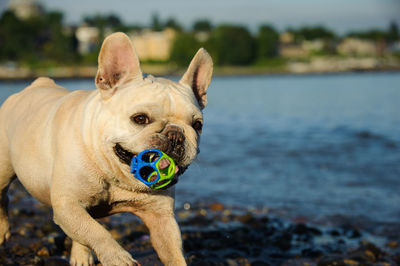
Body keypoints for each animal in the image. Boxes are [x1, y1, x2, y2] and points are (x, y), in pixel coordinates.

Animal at [0, 32, 212, 264]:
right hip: (3, 169)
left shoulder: (161, 218)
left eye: (197, 125)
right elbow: (97, 232)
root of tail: (37, 84)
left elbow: (173, 253)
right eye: (140, 119)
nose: (175, 134)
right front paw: (119, 258)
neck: (113, 172)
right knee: (3, 196)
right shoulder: (68, 206)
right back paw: (3, 230)